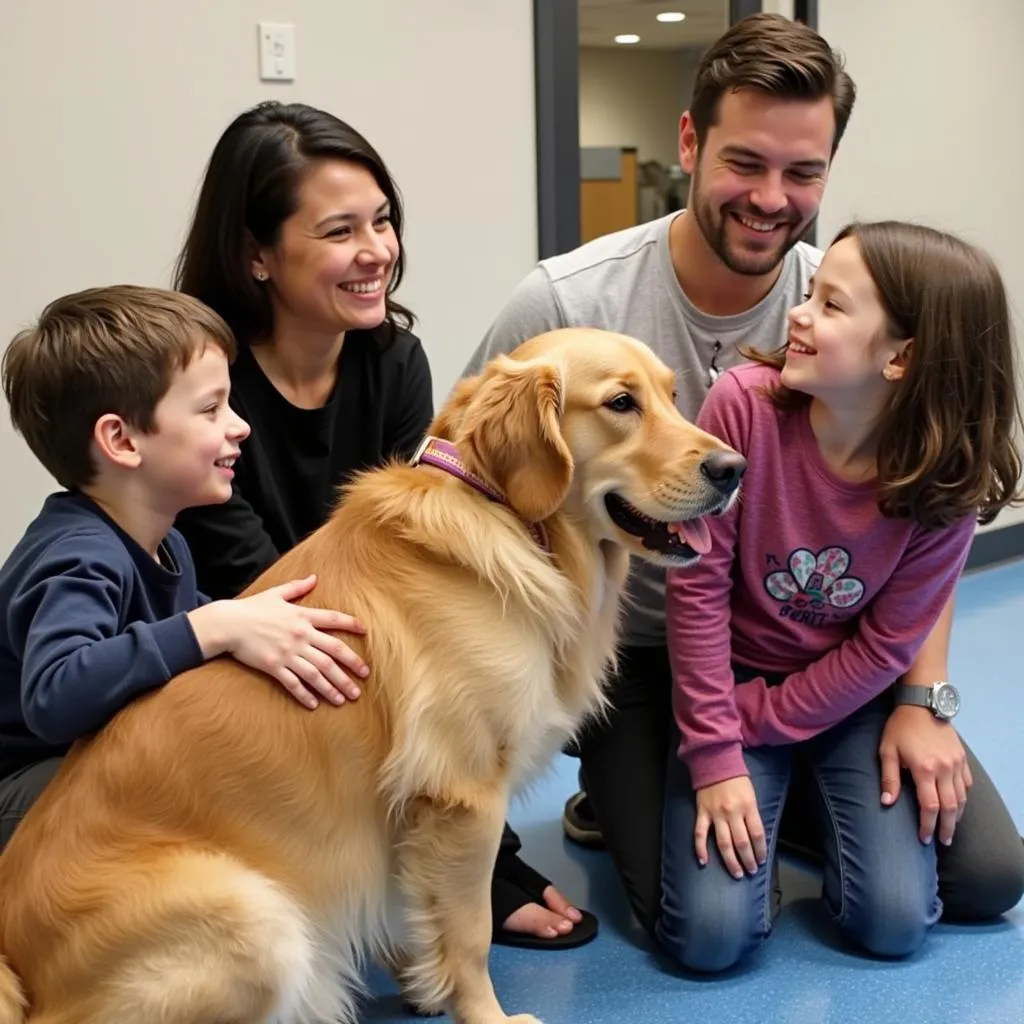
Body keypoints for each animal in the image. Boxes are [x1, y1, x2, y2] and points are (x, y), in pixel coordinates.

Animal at [0, 329, 745, 1024]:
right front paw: (484, 1013)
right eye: (621, 404)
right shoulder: (464, 795)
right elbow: (471, 933)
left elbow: (415, 909)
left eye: (672, 394)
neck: (506, 517)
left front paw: (420, 979)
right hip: (256, 918)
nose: (733, 467)